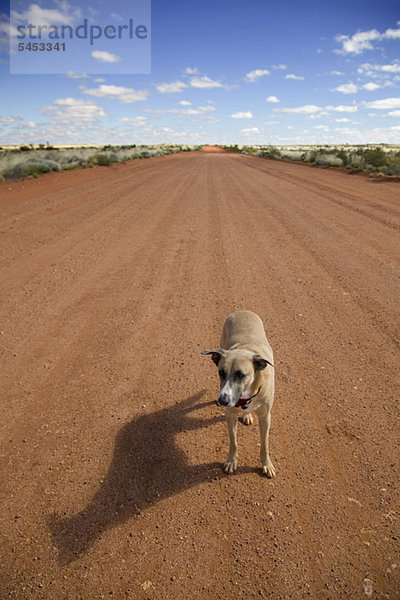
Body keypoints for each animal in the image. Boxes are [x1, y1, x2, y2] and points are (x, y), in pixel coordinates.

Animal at [203, 312, 276, 476]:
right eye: (221, 373)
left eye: (241, 375)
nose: (222, 400)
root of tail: (243, 310)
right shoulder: (230, 415)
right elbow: (233, 441)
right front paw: (231, 461)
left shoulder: (265, 416)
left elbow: (265, 444)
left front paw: (267, 464)